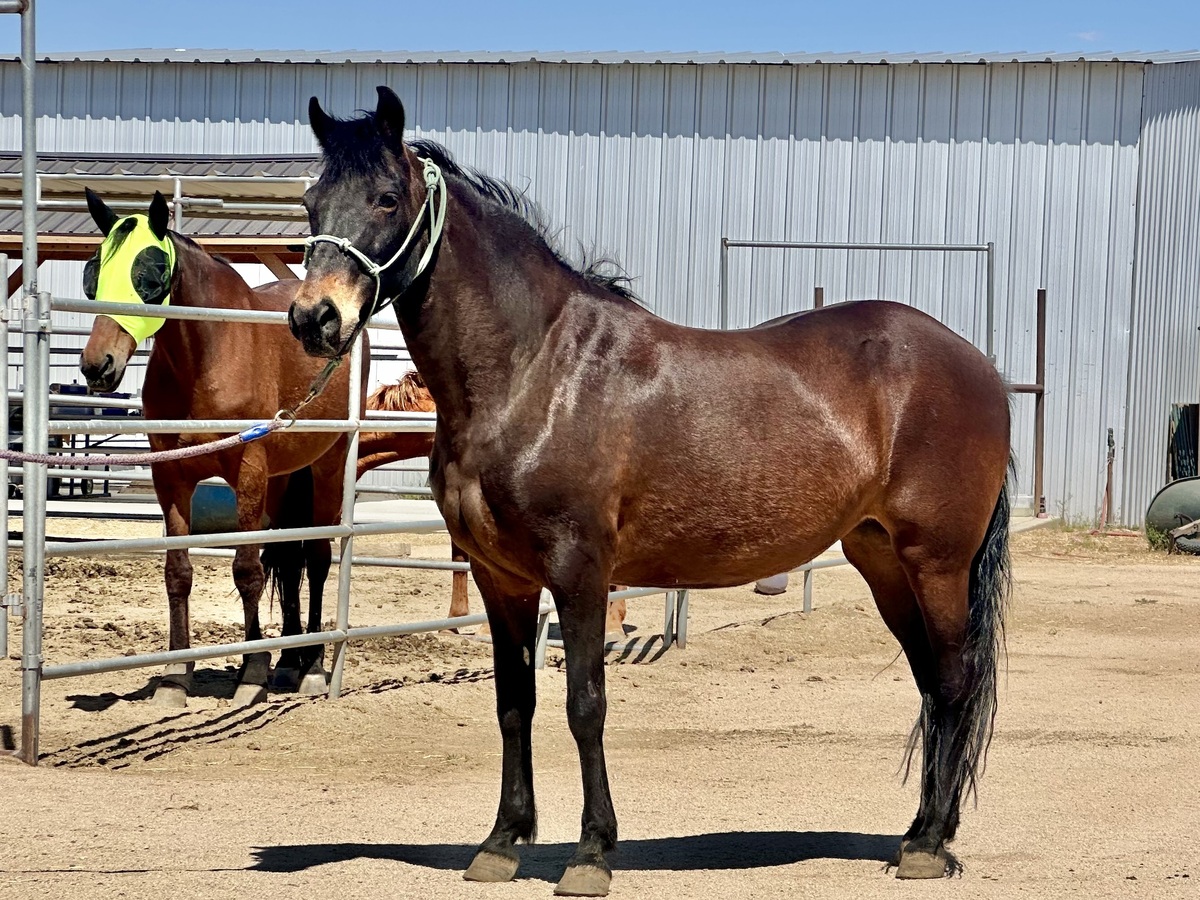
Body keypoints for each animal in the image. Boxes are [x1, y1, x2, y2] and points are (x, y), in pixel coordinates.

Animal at [288, 87, 1012, 894]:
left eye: (386, 198)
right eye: (311, 201)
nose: (314, 319)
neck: (534, 371)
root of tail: (974, 362)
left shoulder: (579, 571)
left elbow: (585, 704)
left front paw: (591, 853)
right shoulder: (500, 578)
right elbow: (514, 704)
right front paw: (502, 842)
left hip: (936, 562)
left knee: (954, 680)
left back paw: (928, 846)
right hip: (881, 559)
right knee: (930, 683)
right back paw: (922, 833)